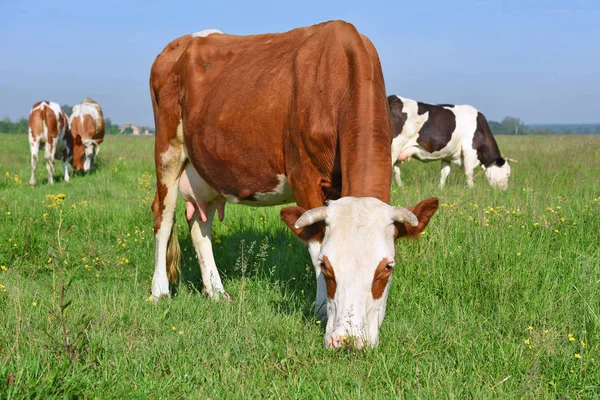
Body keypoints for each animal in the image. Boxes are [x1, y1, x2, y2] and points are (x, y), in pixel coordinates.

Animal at [150, 21, 440, 348]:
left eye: (387, 267)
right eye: (327, 266)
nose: (348, 341)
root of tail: (177, 45)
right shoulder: (304, 176)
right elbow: (313, 244)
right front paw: (321, 310)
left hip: (207, 169)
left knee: (200, 227)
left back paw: (216, 291)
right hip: (167, 150)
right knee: (163, 214)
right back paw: (160, 290)